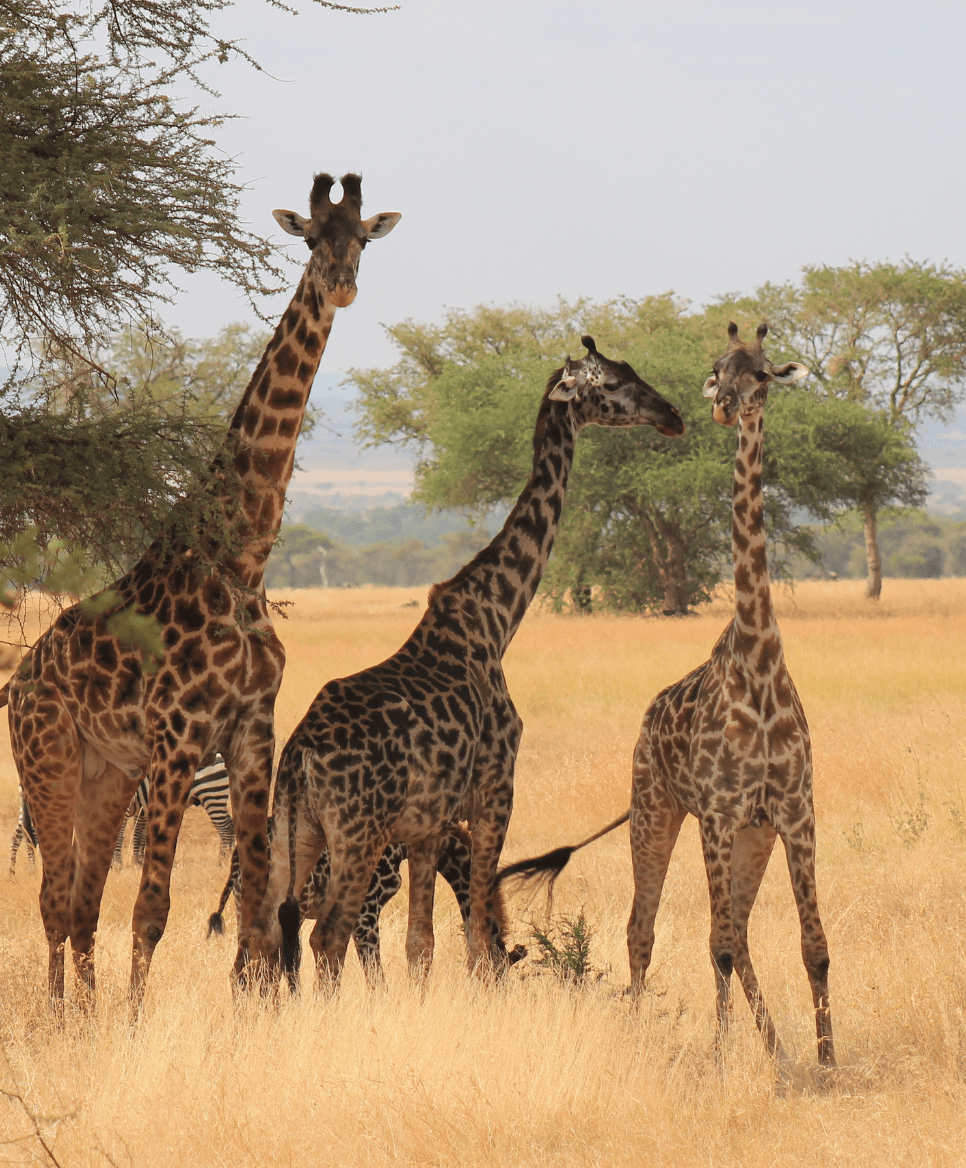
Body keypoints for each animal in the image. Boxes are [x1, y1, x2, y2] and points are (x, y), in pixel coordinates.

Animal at [1, 172, 401, 1013]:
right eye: (310, 237)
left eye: (363, 238)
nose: (342, 284)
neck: (242, 560)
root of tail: (20, 680)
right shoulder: (179, 734)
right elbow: (154, 905)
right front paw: (135, 1021)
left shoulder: (251, 731)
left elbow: (255, 901)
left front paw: (251, 1013)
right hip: (47, 759)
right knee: (52, 900)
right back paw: (62, 1016)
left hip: (106, 773)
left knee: (81, 904)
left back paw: (83, 1014)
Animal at [248, 336, 682, 985]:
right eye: (612, 383)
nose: (672, 415)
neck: (496, 620)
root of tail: (299, 755)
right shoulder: (495, 788)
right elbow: (479, 937)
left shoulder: (429, 823)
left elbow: (422, 943)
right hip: (355, 833)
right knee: (328, 933)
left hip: (292, 832)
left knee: (267, 937)